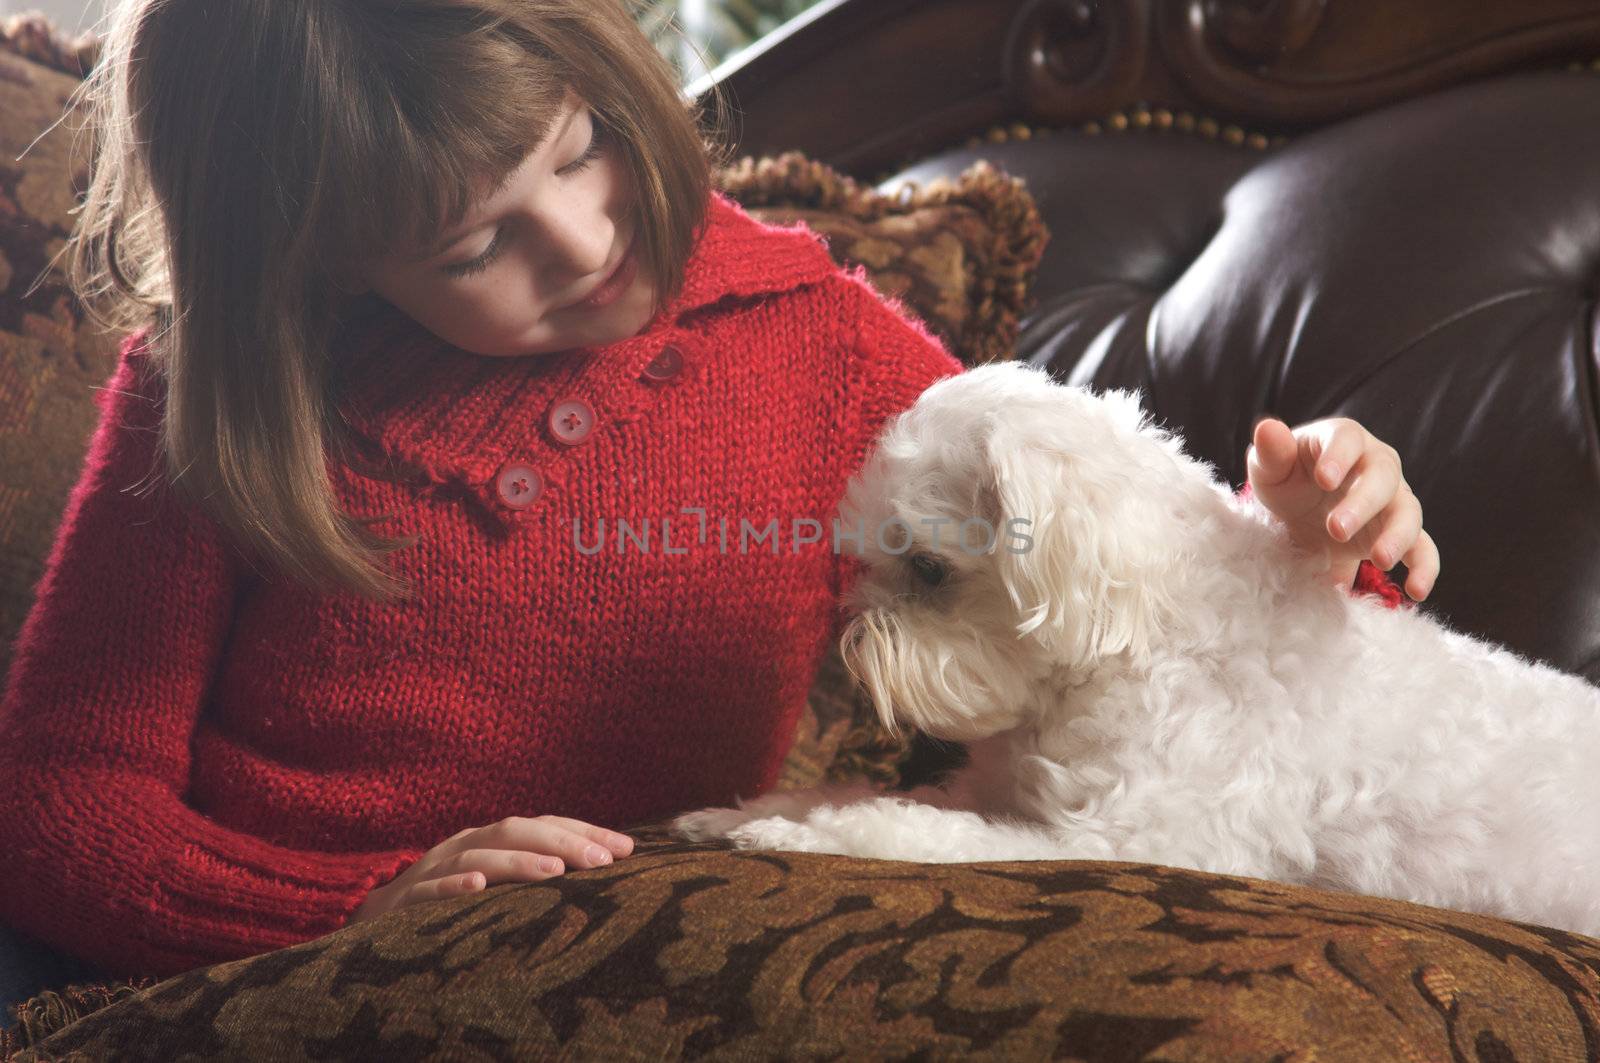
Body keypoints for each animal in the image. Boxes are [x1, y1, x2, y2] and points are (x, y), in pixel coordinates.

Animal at [675, 361, 1600, 934]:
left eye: (928, 569)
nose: (849, 648)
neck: (1139, 635)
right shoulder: (995, 785)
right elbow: (860, 790)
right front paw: (736, 811)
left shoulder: (1126, 840)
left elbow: (910, 829)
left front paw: (793, 833)